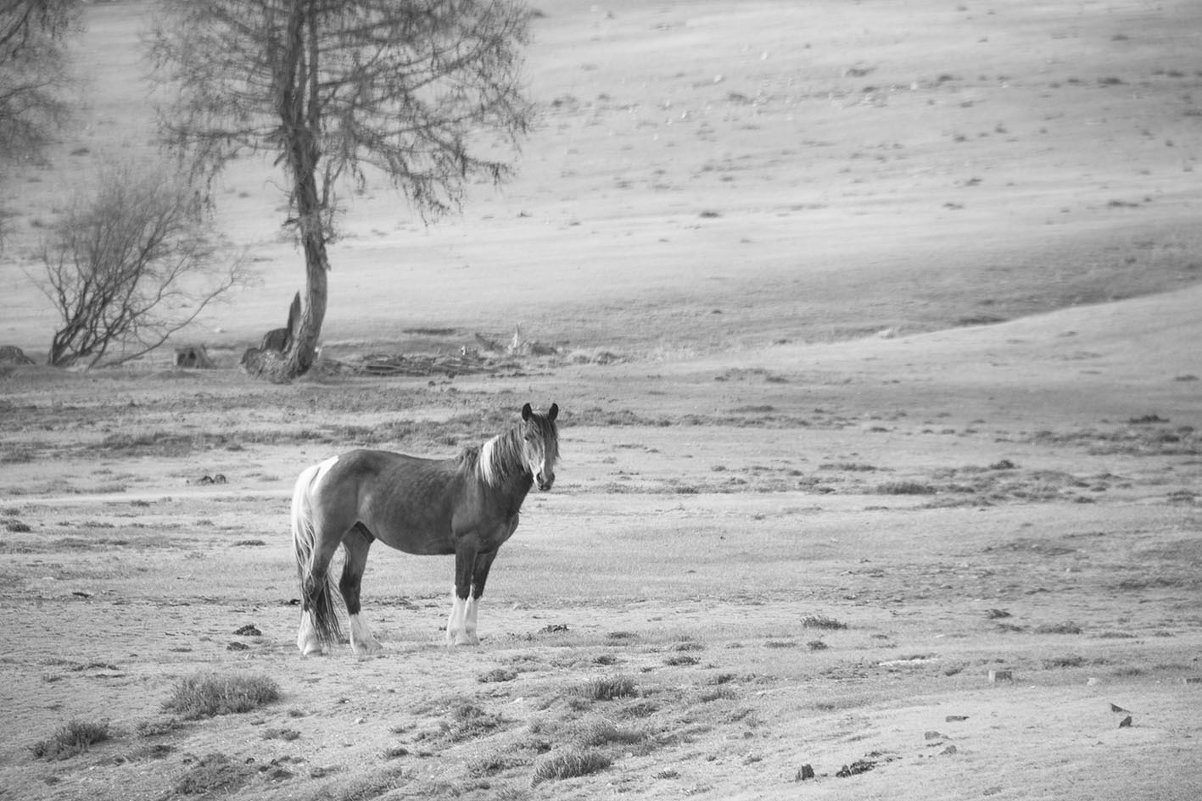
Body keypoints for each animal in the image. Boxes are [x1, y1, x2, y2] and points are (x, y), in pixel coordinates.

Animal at [290, 401, 557, 654]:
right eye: (527, 437)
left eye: (554, 438)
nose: (544, 478)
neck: (486, 483)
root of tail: (322, 468)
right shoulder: (466, 545)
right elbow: (461, 586)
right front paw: (458, 636)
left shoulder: (489, 550)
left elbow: (476, 589)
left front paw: (471, 635)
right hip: (328, 538)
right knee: (312, 583)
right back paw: (310, 643)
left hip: (357, 540)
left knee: (349, 586)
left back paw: (366, 643)